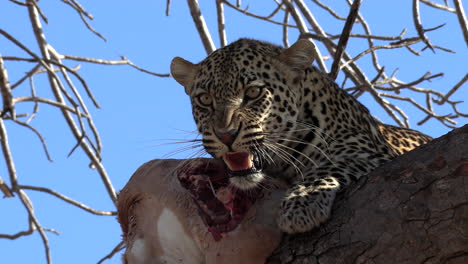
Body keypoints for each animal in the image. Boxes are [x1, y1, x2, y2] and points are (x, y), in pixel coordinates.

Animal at [168, 38, 432, 233]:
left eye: (253, 93)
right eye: (205, 99)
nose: (226, 135)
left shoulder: (374, 153)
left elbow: (328, 167)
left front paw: (301, 204)